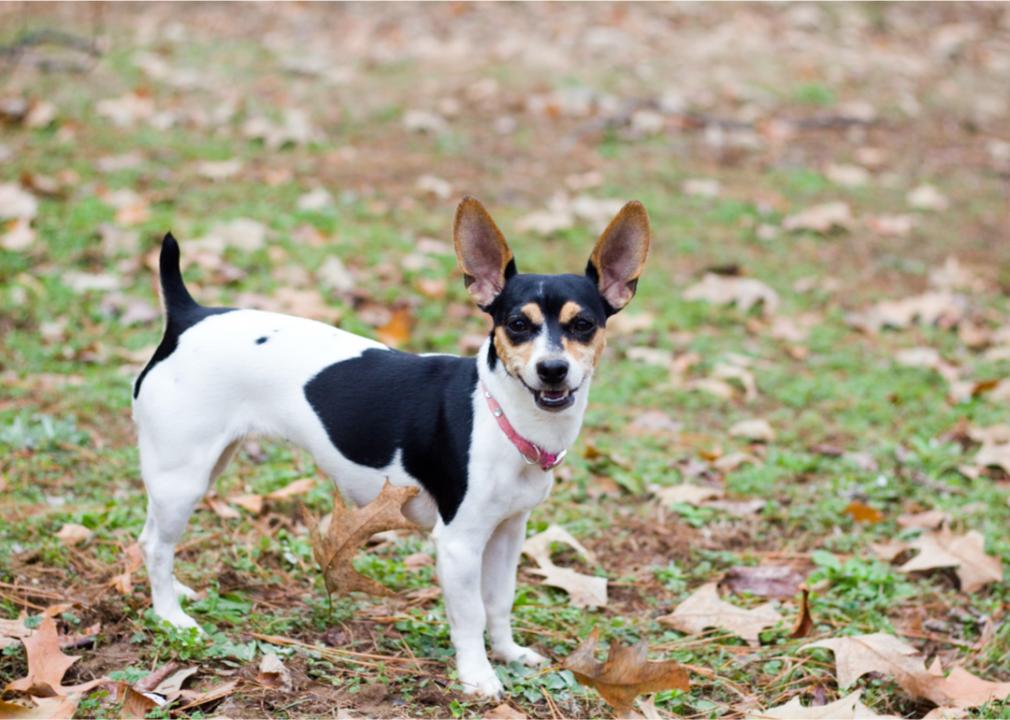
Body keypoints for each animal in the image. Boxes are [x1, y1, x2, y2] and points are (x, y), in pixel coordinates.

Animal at [132, 193, 646, 694]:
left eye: (583, 325)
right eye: (518, 325)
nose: (552, 369)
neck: (500, 413)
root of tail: (190, 317)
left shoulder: (507, 533)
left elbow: (499, 601)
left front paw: (508, 653)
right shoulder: (458, 544)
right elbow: (470, 615)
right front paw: (477, 676)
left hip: (204, 466)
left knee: (150, 537)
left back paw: (176, 593)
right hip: (182, 479)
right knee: (156, 545)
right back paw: (172, 616)